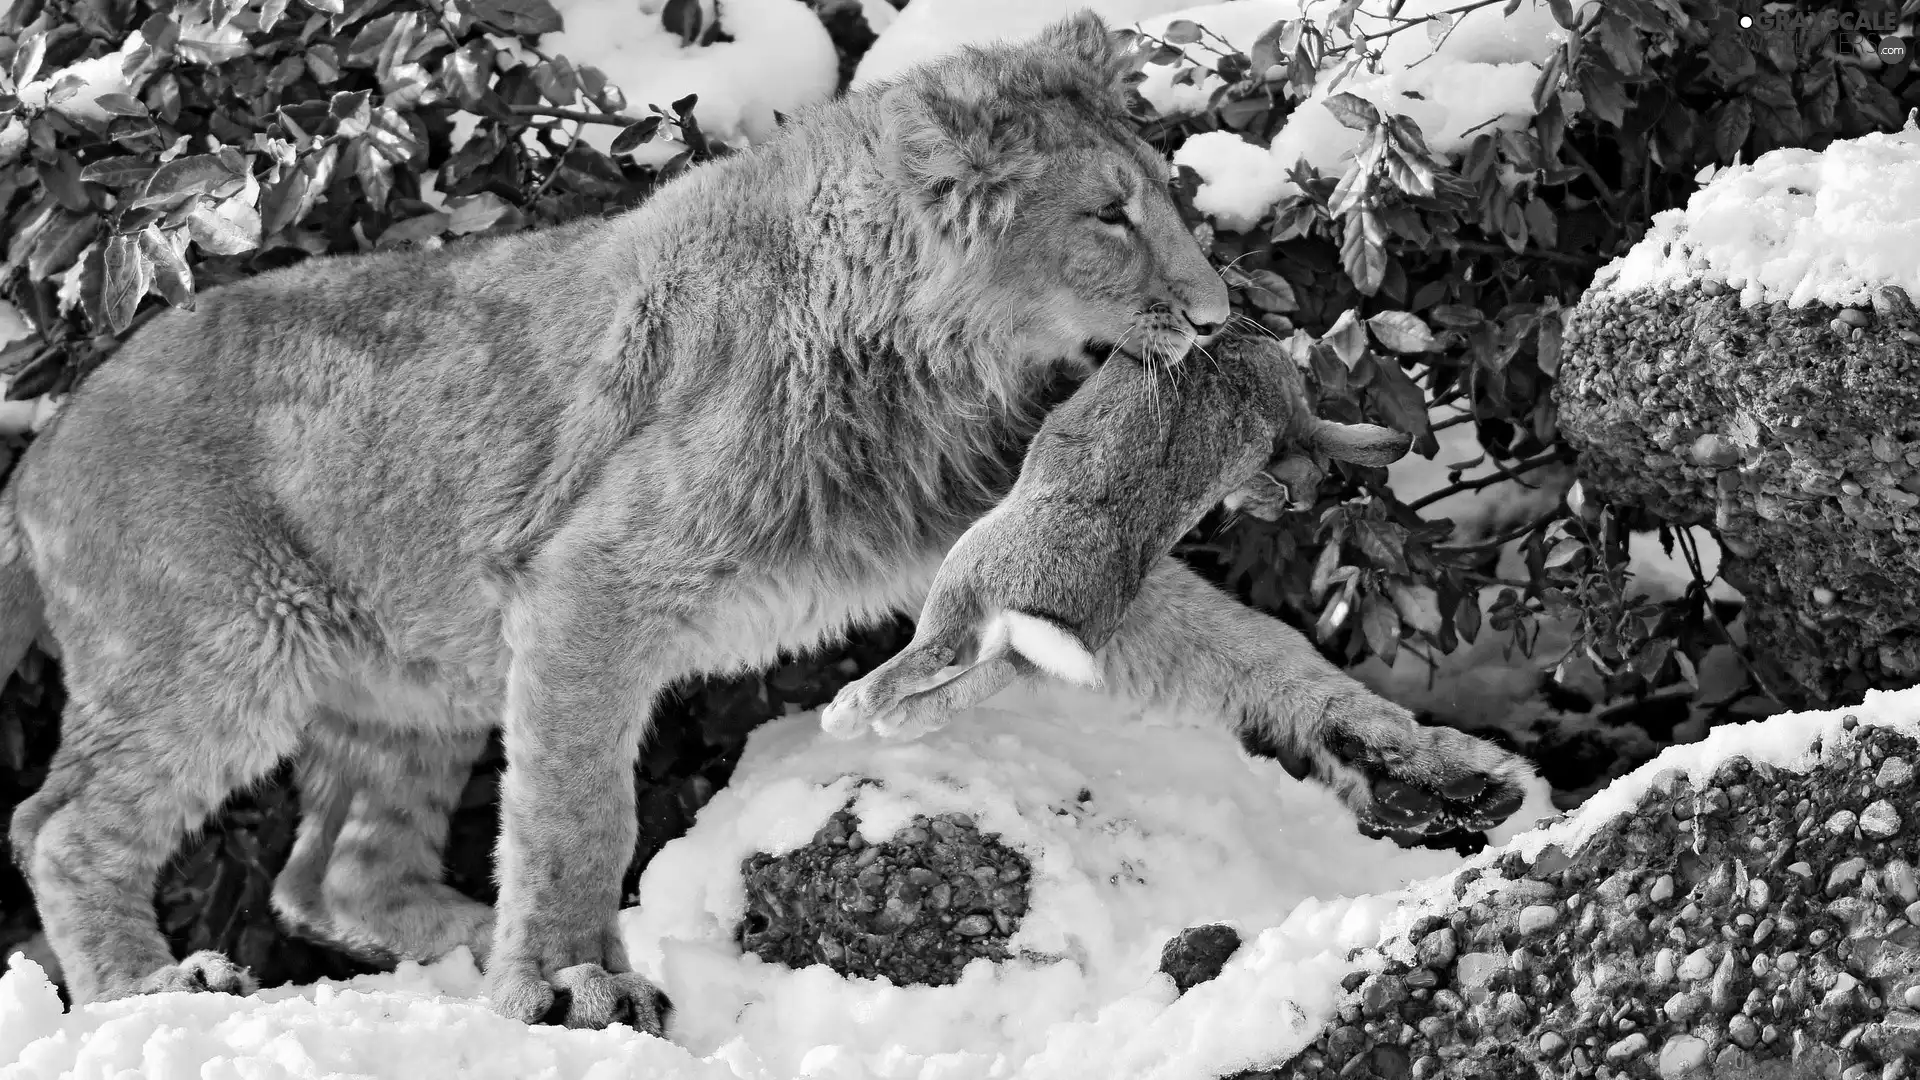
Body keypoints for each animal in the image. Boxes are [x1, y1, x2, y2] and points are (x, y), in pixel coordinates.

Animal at [0, 12, 1528, 1030]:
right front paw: (570, 979)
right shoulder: (586, 583)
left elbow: (1253, 650)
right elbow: (576, 805)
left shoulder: (1009, 535)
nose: (1219, 318)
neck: (925, 357)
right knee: (62, 823)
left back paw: (458, 950)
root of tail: (46, 440)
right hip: (219, 650)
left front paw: (1427, 762)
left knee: (339, 873)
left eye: (1164, 203)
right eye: (1110, 216)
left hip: (409, 686)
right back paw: (159, 986)